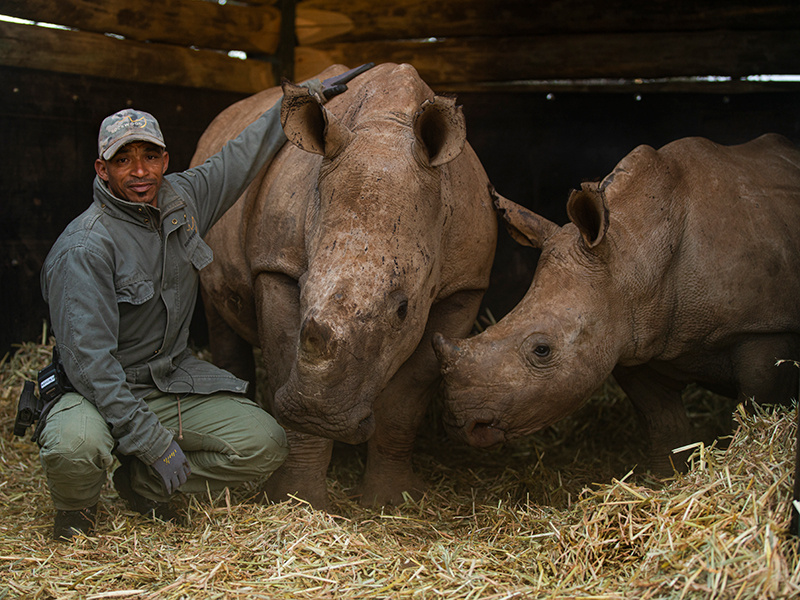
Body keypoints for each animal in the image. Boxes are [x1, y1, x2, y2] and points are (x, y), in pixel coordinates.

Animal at [191, 63, 496, 508]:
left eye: (403, 309)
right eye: (302, 287)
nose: (318, 413)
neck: (387, 128)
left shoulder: (464, 287)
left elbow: (405, 401)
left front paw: (392, 500)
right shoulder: (277, 266)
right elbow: (284, 354)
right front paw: (297, 498)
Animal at [434, 132, 800, 474]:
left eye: (542, 350)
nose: (461, 425)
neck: (632, 253)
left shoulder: (763, 330)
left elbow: (753, 411)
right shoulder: (633, 336)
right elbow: (664, 428)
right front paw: (667, 481)